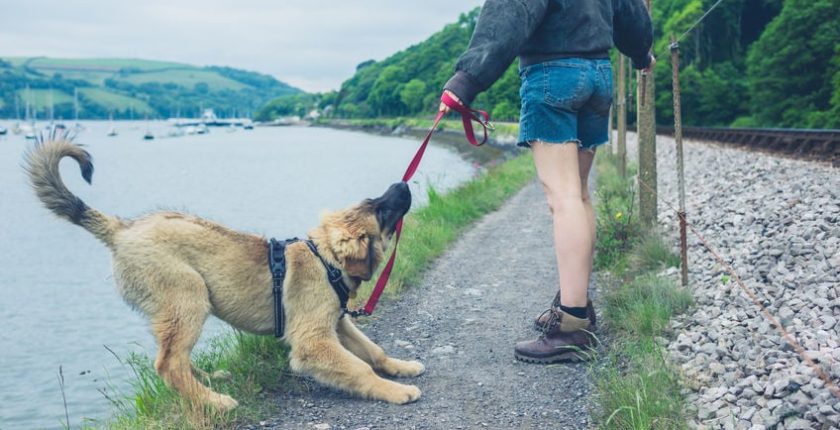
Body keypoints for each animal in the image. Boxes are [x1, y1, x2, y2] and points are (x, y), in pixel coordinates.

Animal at [27, 139, 424, 410]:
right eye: (381, 210)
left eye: (374, 202)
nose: (403, 185)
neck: (325, 259)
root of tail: (121, 229)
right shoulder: (313, 340)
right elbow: (359, 368)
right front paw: (396, 391)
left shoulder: (338, 324)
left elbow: (373, 352)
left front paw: (401, 367)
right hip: (188, 296)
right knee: (168, 364)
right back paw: (213, 401)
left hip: (177, 308)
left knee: (176, 358)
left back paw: (209, 381)